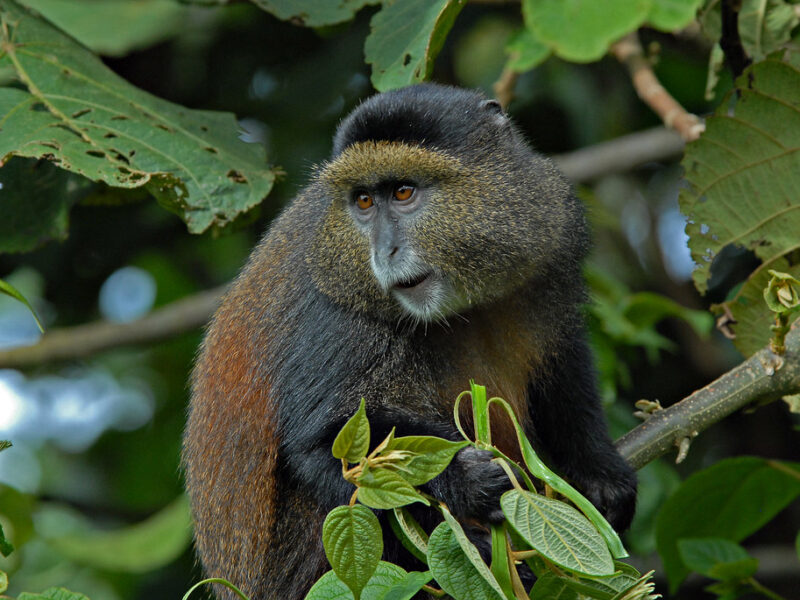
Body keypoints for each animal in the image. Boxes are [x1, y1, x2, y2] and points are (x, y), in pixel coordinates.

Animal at [182, 83, 637, 600]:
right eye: (363, 201)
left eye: (403, 192)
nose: (385, 252)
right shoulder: (338, 314)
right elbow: (324, 442)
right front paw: (467, 479)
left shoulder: (553, 236)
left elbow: (562, 361)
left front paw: (600, 478)